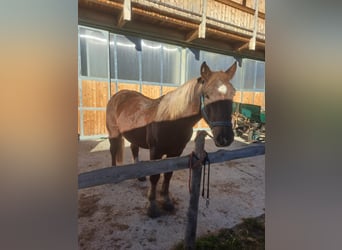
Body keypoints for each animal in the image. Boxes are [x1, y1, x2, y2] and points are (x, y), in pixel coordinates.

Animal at [105, 60, 236, 217]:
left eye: (233, 93)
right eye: (207, 95)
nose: (225, 137)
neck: (173, 120)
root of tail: (119, 95)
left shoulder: (176, 151)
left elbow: (168, 175)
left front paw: (166, 201)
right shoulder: (156, 151)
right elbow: (155, 177)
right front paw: (152, 206)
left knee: (133, 148)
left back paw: (140, 176)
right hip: (114, 133)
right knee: (113, 150)